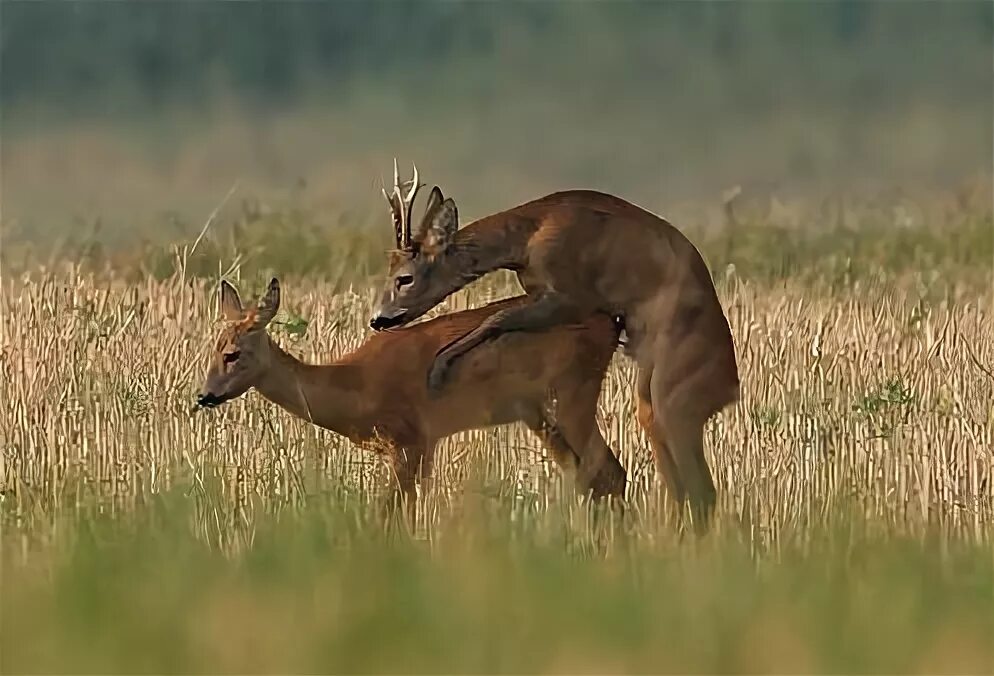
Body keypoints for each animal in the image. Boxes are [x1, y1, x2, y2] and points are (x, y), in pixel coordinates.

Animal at [197, 274, 624, 512]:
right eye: (211, 348)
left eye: (233, 354)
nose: (204, 395)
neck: (355, 385)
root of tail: (611, 323)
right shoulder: (422, 446)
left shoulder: (410, 439)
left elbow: (390, 514)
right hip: (539, 413)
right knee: (591, 481)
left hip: (572, 394)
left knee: (612, 474)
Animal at [368, 164, 732, 532]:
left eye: (404, 278)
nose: (377, 319)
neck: (528, 238)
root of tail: (731, 389)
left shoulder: (572, 295)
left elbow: (496, 318)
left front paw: (438, 370)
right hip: (651, 399)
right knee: (680, 486)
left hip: (678, 393)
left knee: (701, 488)